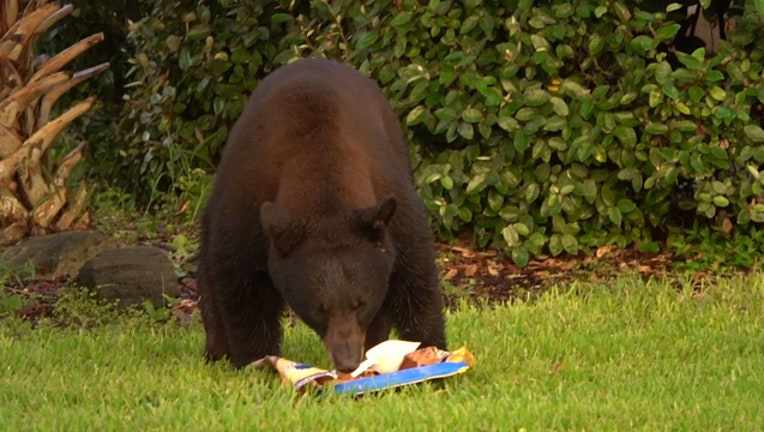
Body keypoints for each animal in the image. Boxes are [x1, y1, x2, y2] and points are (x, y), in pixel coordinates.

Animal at [197, 57, 446, 372]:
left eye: (360, 303)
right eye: (320, 308)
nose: (348, 362)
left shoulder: (392, 201)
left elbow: (415, 276)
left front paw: (431, 351)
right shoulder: (246, 201)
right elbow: (242, 283)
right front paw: (258, 360)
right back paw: (216, 350)